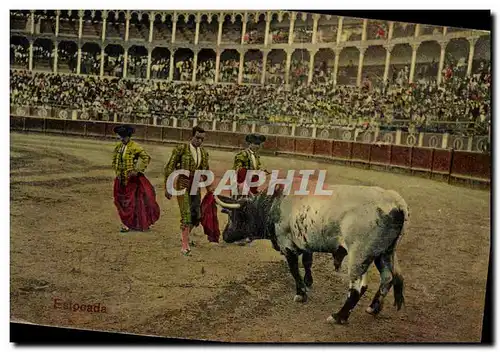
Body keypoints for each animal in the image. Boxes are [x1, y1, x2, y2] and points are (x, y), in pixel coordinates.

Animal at [213, 186, 408, 326]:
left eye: (234, 215)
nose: (225, 235)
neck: (275, 206)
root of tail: (396, 203)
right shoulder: (306, 244)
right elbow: (307, 262)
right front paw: (308, 282)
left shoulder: (288, 246)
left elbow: (294, 270)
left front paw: (301, 293)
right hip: (384, 253)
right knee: (388, 279)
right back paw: (373, 308)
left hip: (359, 256)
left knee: (358, 288)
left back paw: (339, 316)